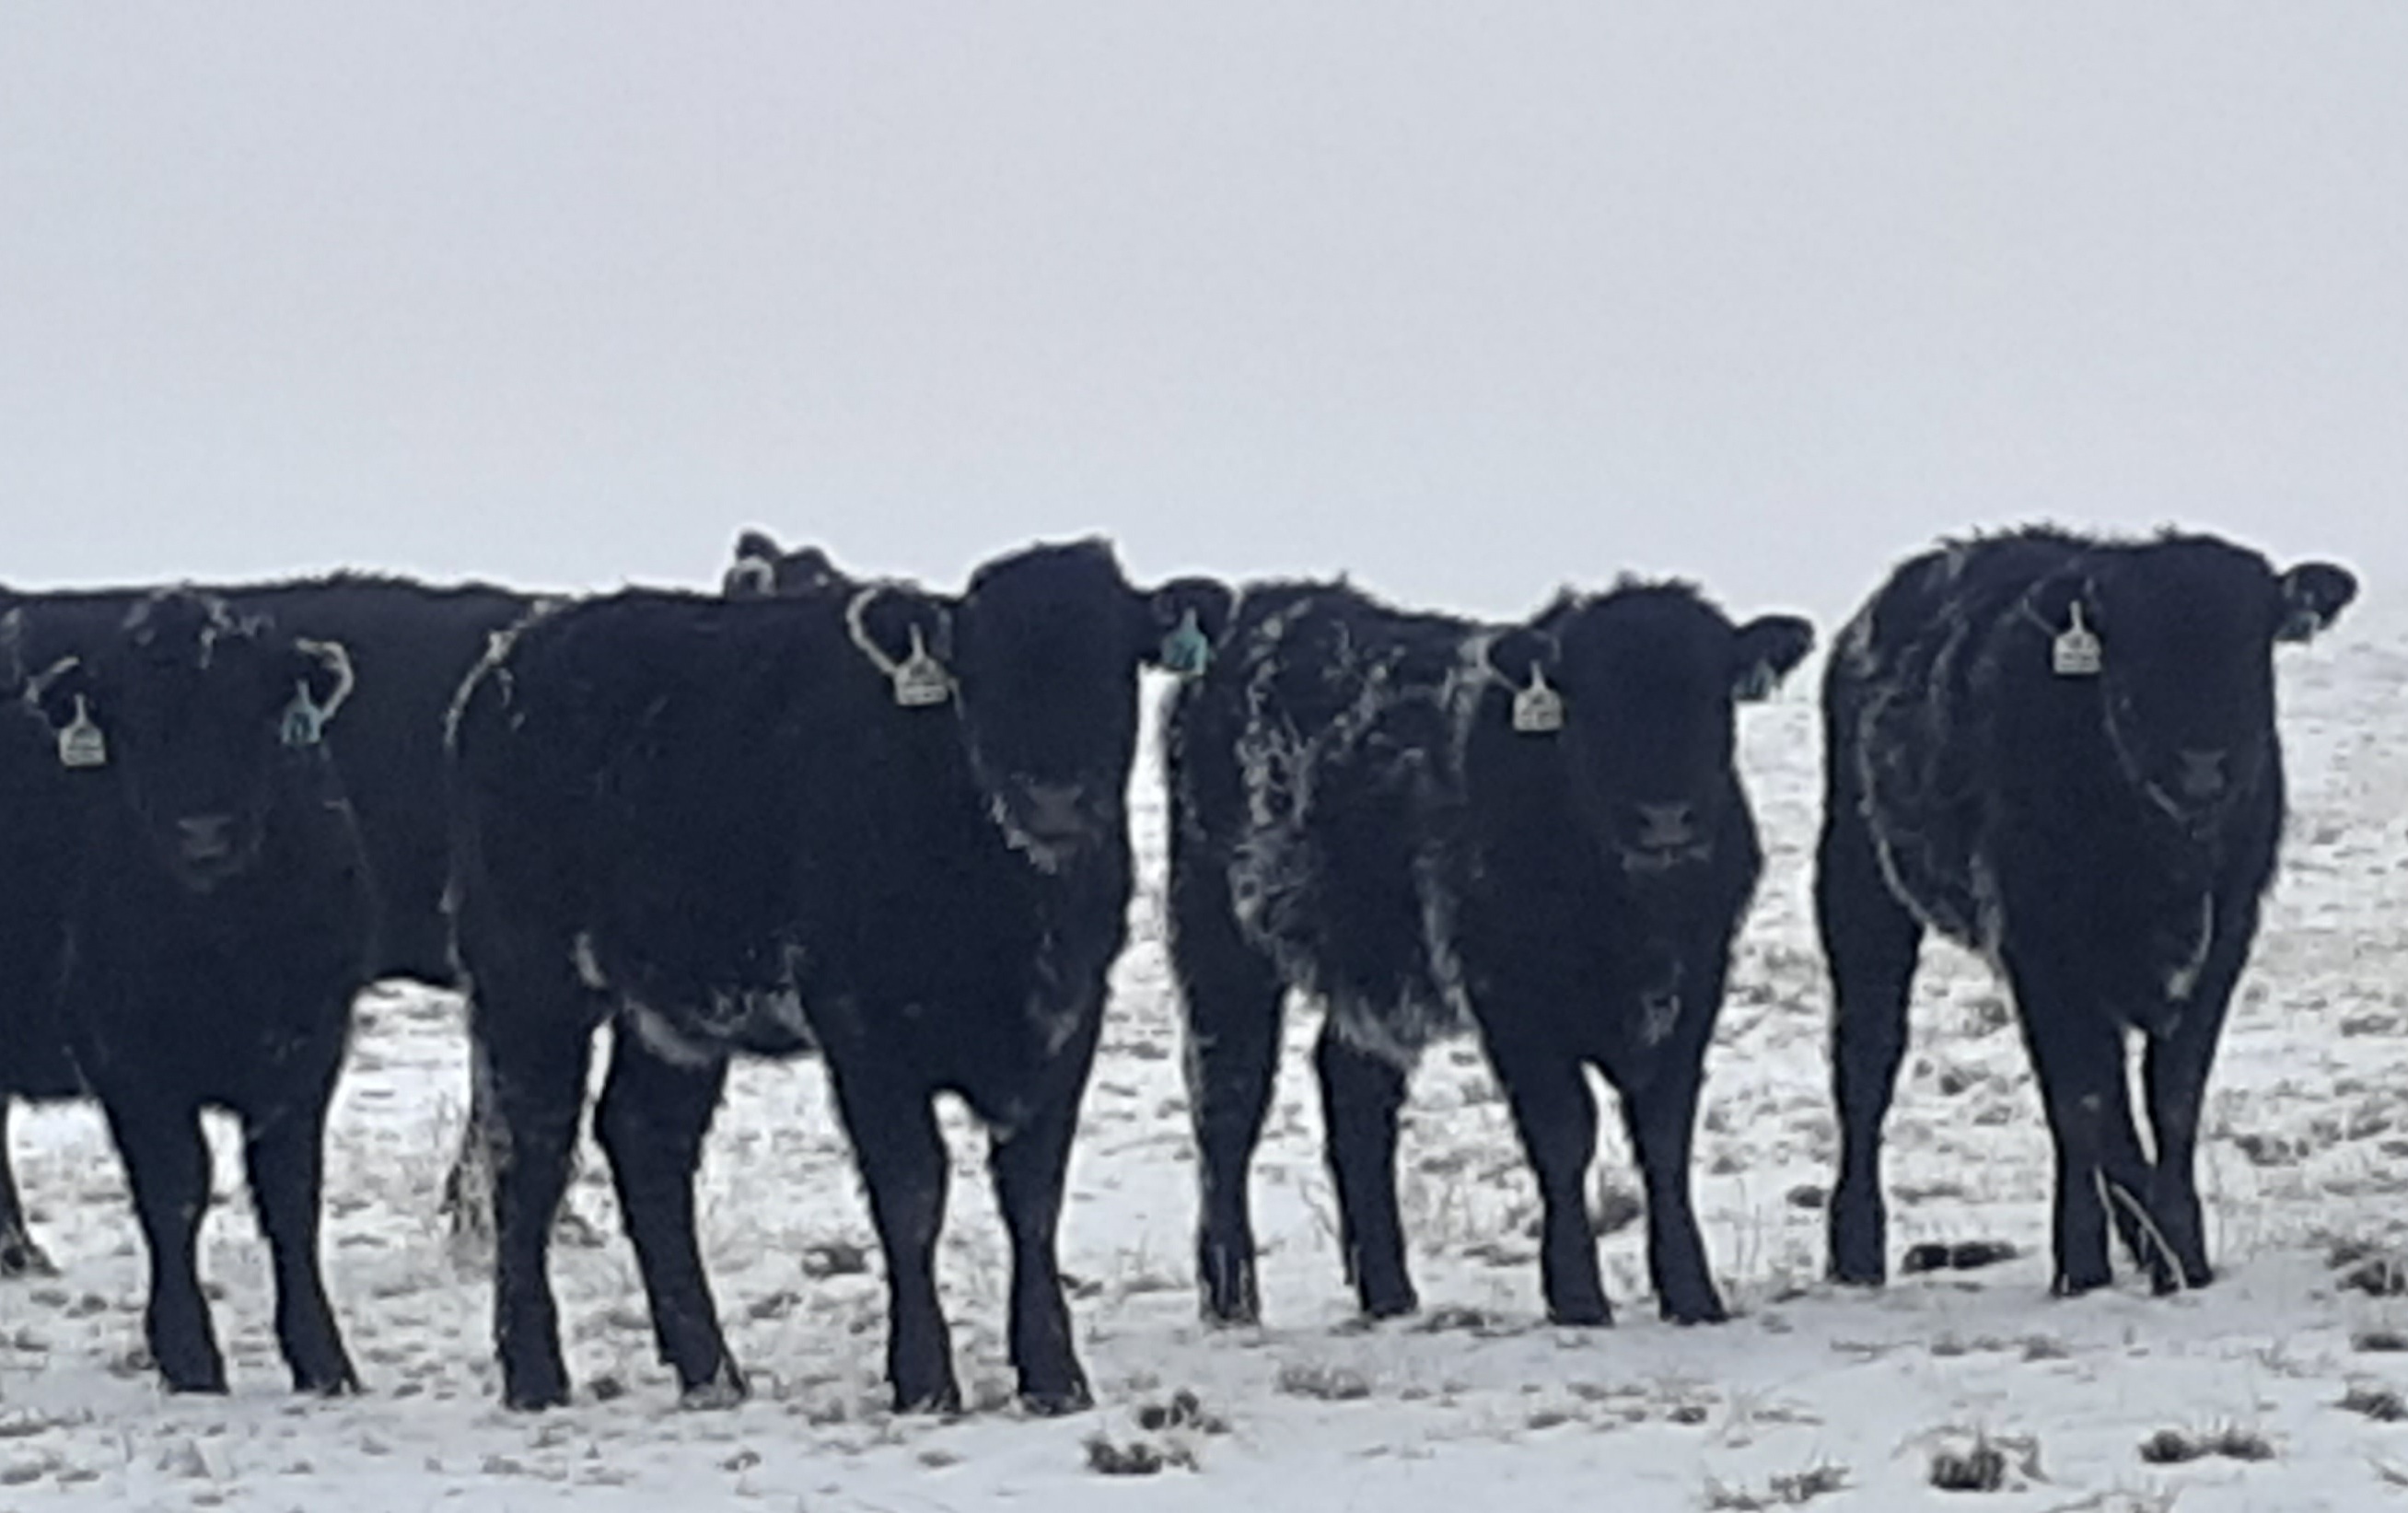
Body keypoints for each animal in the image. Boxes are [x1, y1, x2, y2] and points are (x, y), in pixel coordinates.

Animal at [6, 588, 373, 1392]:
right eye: (135, 722)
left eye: (251, 713)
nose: (203, 832)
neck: (219, 945)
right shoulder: (127, 1058)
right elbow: (175, 1192)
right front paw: (189, 1355)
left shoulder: (307, 1045)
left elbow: (290, 1195)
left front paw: (322, 1357)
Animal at [448, 539, 1232, 1413]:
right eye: (980, 671)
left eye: (1111, 661)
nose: (1053, 799)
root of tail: (512, 655)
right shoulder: (863, 1025)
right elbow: (912, 1191)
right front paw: (925, 1379)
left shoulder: (1069, 1015)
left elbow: (1032, 1193)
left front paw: (1054, 1375)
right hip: (527, 978)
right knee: (527, 1150)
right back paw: (535, 1373)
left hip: (677, 1012)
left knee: (646, 1141)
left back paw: (710, 1371)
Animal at [1169, 578, 1813, 1328]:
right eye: (1591, 701)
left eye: (1713, 695)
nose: (1665, 816)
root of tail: (1262, 602)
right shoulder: (1511, 999)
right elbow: (1564, 1131)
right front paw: (1577, 1295)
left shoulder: (1694, 988)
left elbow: (1663, 1135)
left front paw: (1691, 1293)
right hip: (1217, 938)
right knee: (1227, 1097)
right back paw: (1230, 1294)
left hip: (1376, 969)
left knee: (1353, 1090)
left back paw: (1388, 1292)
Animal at [1820, 528, 2357, 1297]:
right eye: (2133, 649)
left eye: (2251, 643)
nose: (2201, 763)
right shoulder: (2039, 945)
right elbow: (2093, 1106)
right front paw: (2127, 1256)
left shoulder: (2223, 938)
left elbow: (2169, 1099)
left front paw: (2180, 1258)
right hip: (1857, 884)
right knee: (1866, 1060)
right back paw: (1858, 1252)